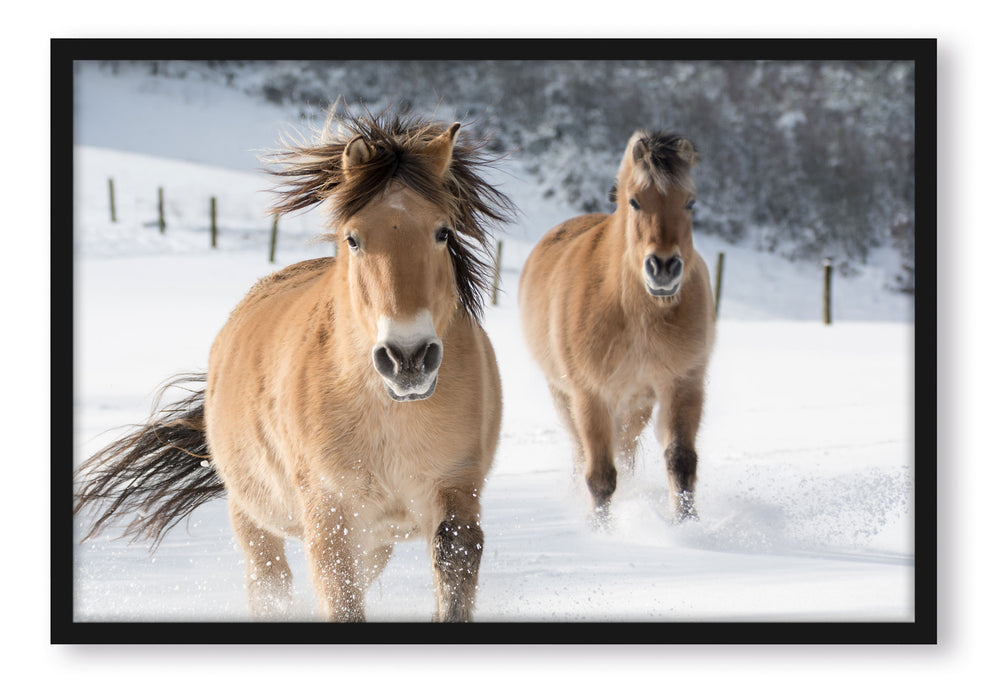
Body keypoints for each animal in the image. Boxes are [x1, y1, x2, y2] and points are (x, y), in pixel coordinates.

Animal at [74, 109, 514, 622]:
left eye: (442, 232)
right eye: (353, 239)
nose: (407, 358)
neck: (388, 415)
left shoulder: (455, 495)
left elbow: (453, 577)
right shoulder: (331, 516)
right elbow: (340, 599)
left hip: (376, 539)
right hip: (253, 515)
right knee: (270, 584)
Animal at [518, 129, 715, 524]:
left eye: (690, 202)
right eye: (635, 201)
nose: (664, 268)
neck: (636, 315)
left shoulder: (683, 384)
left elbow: (681, 461)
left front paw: (688, 525)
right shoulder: (590, 395)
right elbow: (600, 476)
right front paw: (600, 529)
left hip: (636, 403)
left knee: (625, 451)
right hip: (565, 396)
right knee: (583, 454)